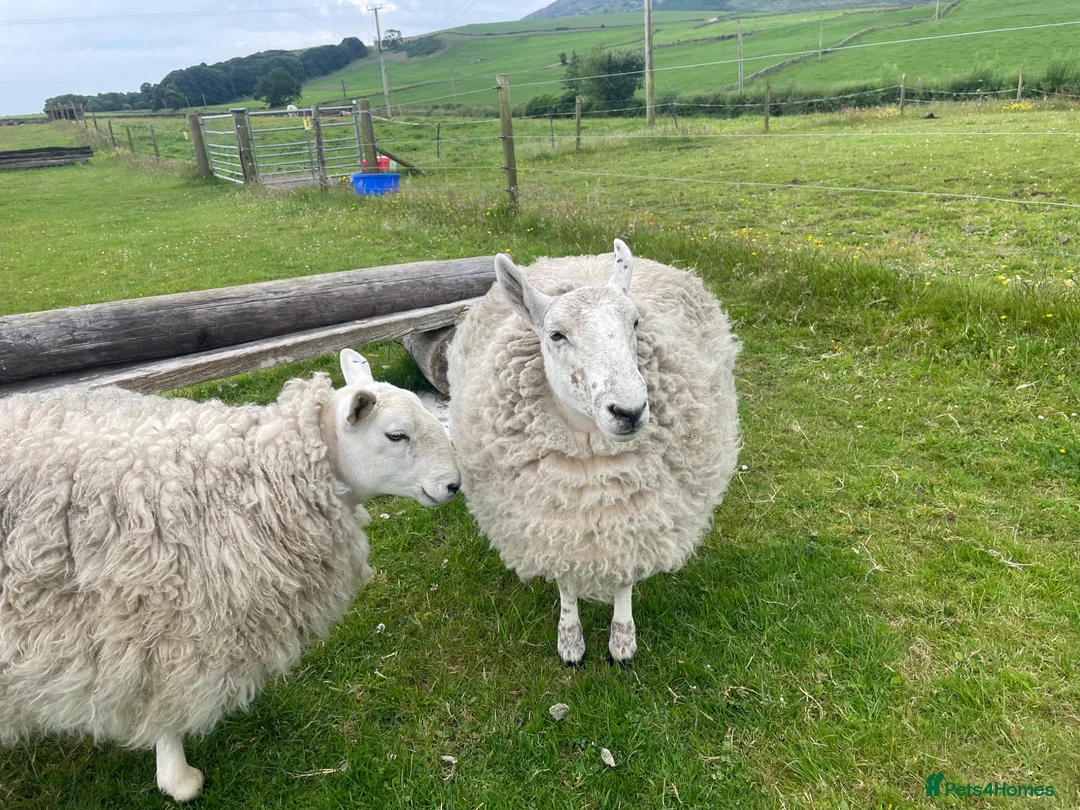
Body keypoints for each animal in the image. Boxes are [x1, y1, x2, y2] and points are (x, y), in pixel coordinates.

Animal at [0, 349, 461, 802]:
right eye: (396, 436)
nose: (454, 485)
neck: (256, 478)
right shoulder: (165, 623)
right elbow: (167, 701)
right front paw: (178, 777)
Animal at [447, 240, 740, 666]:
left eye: (635, 323)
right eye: (556, 335)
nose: (630, 411)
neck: (591, 458)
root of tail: (583, 259)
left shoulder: (633, 517)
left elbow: (624, 578)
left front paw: (622, 640)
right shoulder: (556, 522)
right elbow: (566, 583)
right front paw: (570, 640)